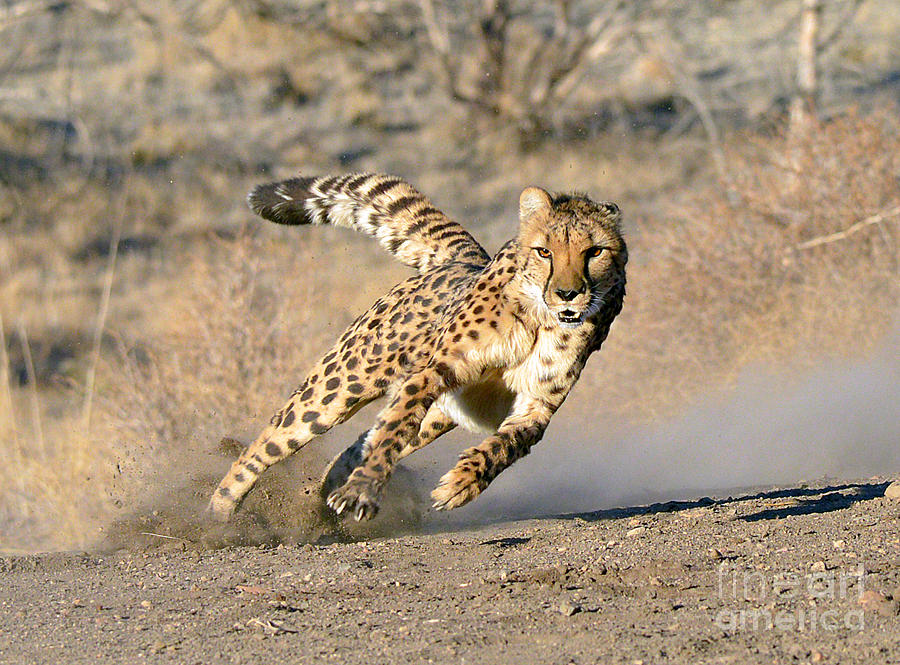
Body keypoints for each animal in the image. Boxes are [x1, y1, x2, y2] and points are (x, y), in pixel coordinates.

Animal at [207, 172, 624, 524]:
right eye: (544, 252)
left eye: (594, 252)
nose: (568, 293)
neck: (541, 318)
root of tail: (464, 260)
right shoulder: (431, 373)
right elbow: (392, 433)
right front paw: (362, 492)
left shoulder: (536, 405)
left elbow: (504, 447)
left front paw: (462, 483)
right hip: (342, 384)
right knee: (267, 445)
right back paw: (218, 519)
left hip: (437, 419)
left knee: (356, 447)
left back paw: (322, 501)